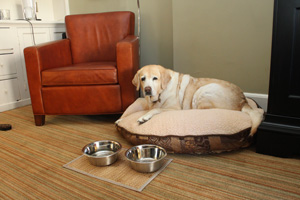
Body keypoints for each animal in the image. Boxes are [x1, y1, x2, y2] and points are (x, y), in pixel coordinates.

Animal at [119, 65, 262, 135]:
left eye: (155, 78)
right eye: (143, 79)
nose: (147, 89)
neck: (160, 94)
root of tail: (243, 100)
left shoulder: (174, 108)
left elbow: (155, 110)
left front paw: (144, 117)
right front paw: (121, 119)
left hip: (202, 91)